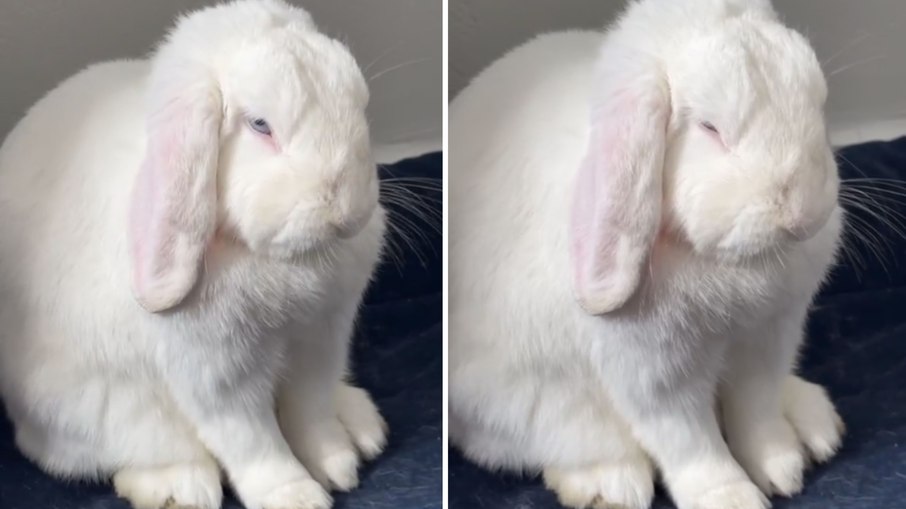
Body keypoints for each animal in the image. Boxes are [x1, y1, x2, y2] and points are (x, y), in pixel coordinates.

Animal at [0, 1, 389, 508]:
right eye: (259, 125)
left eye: (359, 103)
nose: (347, 213)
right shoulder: (216, 373)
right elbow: (252, 440)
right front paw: (296, 497)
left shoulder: (321, 340)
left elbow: (312, 410)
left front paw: (338, 465)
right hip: (96, 416)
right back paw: (179, 488)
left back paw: (363, 428)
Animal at [449, 1, 845, 508]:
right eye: (710, 128)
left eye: (818, 103)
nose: (804, 214)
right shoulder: (654, 372)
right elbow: (690, 440)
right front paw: (730, 498)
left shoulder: (768, 339)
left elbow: (756, 411)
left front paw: (782, 468)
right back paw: (608, 485)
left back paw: (816, 426)